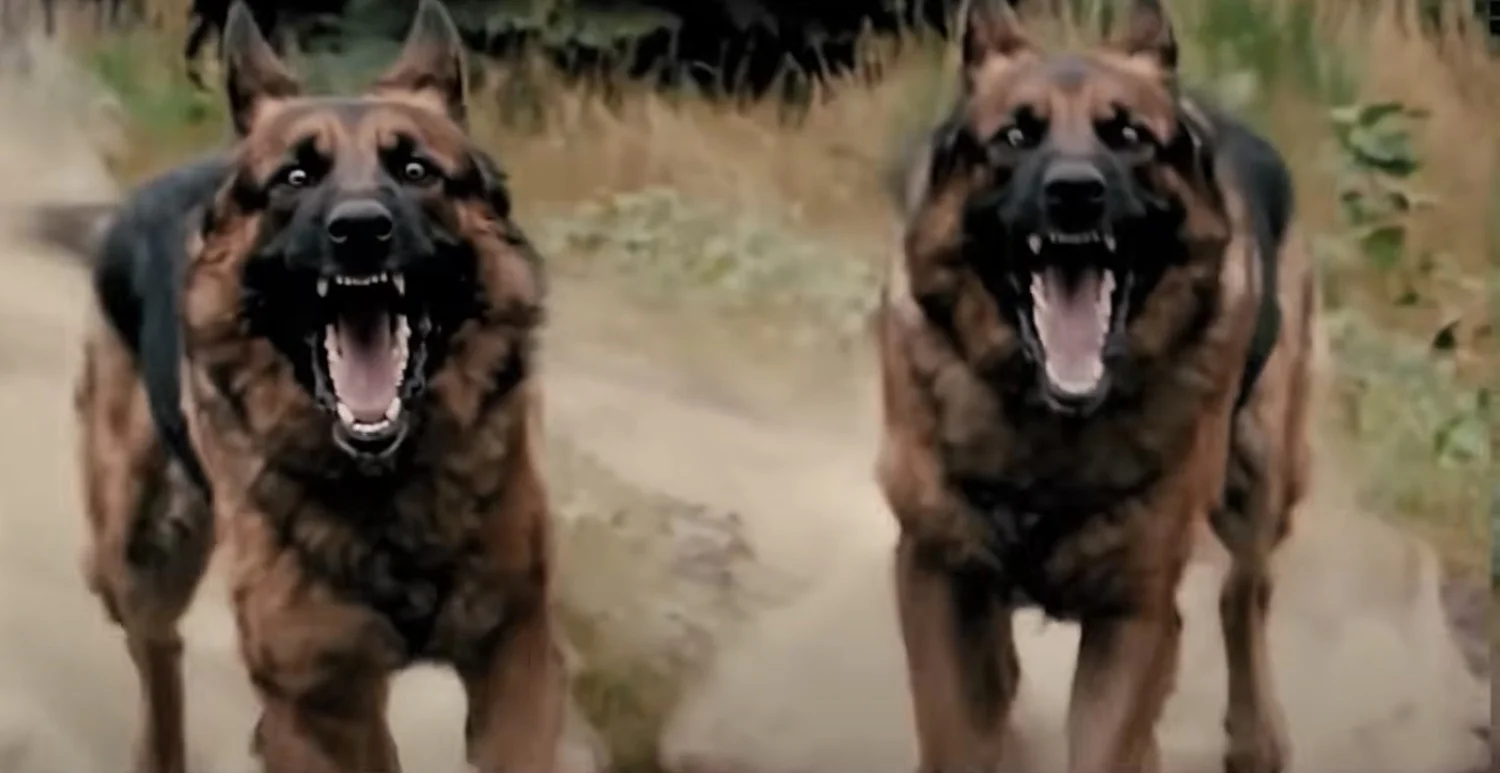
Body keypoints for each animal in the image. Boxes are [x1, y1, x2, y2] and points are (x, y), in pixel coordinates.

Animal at [54, 1, 563, 771]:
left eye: (417, 169)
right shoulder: (325, 695)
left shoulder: (514, 658)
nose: (359, 231)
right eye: (295, 177)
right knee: (156, 647)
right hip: (141, 554)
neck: (390, 486)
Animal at [875, 1, 1317, 772]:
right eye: (1017, 135)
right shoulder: (938, 574)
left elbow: (1111, 737)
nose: (1076, 194)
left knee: (1245, 589)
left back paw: (1255, 731)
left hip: (1261, 469)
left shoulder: (1133, 611)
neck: (1049, 426)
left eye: (1129, 136)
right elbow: (959, 729)